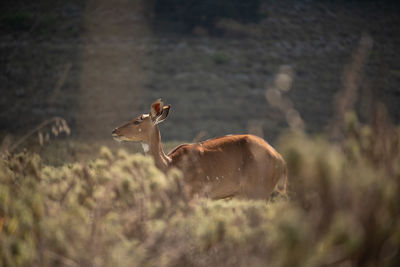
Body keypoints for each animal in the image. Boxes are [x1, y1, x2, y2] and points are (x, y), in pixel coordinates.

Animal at [112, 99, 288, 201]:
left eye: (137, 121)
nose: (114, 130)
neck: (170, 164)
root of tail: (281, 161)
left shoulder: (195, 194)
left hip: (259, 191)